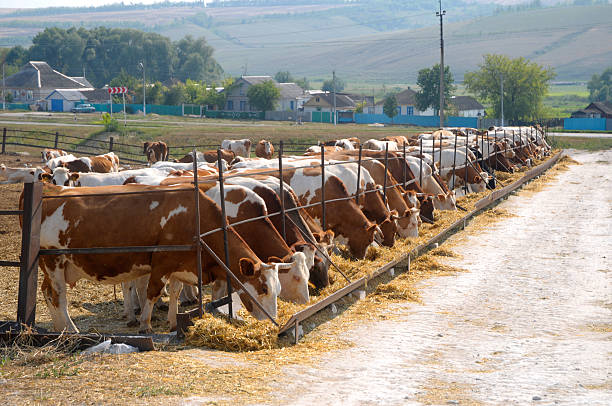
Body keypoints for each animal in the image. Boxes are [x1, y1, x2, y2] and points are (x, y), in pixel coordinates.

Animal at [26, 184, 286, 334]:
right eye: (263, 288)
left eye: (277, 289)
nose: (271, 320)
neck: (194, 218)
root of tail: (51, 191)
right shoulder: (161, 263)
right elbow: (152, 293)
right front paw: (145, 323)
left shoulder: (181, 264)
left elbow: (175, 292)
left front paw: (172, 321)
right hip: (54, 261)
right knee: (58, 296)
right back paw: (71, 329)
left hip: (54, 266)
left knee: (46, 292)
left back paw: (59, 329)